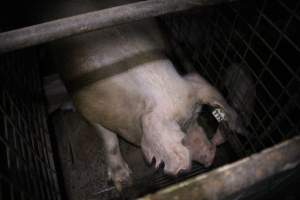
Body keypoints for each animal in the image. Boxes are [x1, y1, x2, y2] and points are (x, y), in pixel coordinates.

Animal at [42, 0, 241, 191]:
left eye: (196, 117)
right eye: (182, 129)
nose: (211, 155)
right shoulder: (85, 106)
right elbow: (109, 142)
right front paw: (123, 183)